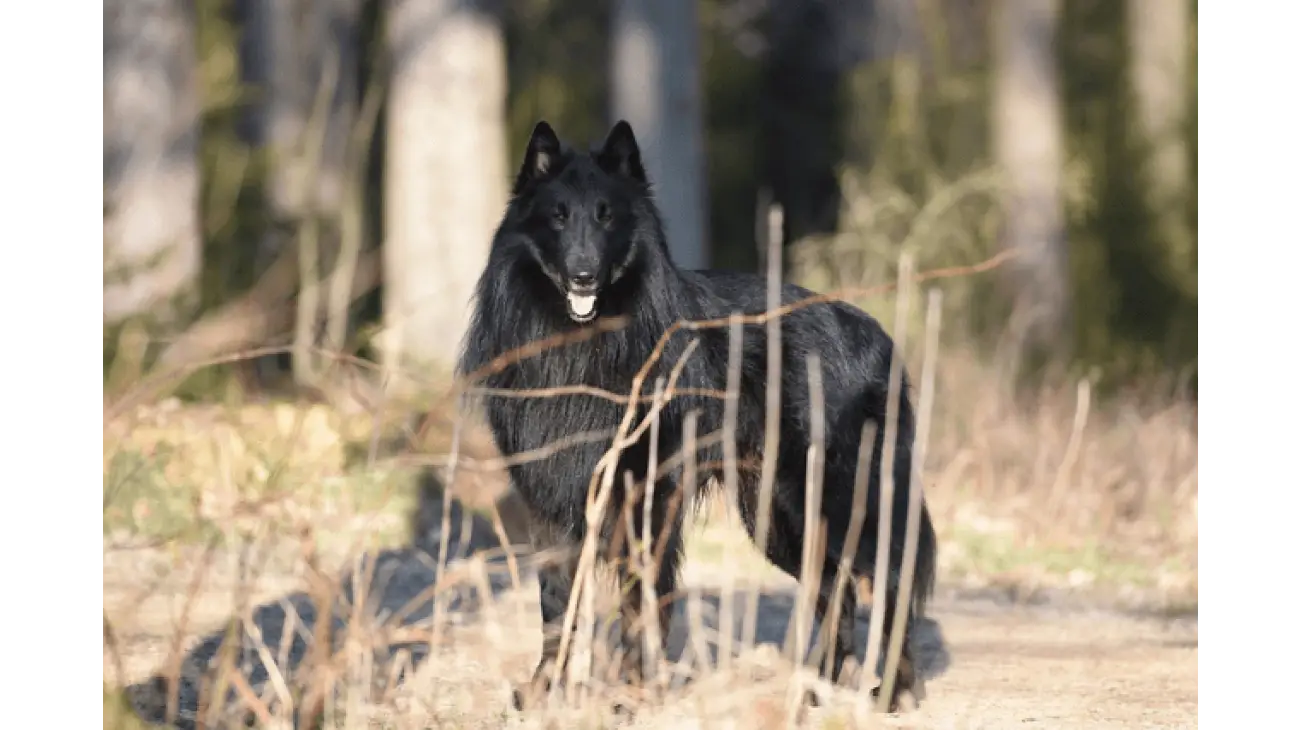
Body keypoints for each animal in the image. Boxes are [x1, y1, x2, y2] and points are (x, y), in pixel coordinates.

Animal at [457, 120, 935, 711]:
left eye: (607, 216)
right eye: (558, 216)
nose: (584, 275)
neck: (585, 345)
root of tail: (879, 335)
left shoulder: (646, 496)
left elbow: (640, 601)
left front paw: (634, 694)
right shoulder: (550, 500)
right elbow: (555, 605)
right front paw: (546, 690)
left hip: (834, 499)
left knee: (889, 582)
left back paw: (893, 693)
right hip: (778, 514)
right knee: (836, 590)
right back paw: (813, 689)